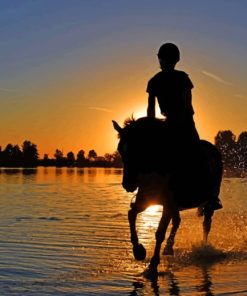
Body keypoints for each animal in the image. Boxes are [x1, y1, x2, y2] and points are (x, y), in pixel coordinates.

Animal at [113, 116, 223, 272]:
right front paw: (138, 250)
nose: (128, 184)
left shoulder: (167, 203)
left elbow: (160, 232)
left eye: (138, 149)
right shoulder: (147, 200)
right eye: (120, 149)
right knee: (177, 221)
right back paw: (169, 248)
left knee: (206, 225)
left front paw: (153, 264)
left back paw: (203, 248)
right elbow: (131, 214)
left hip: (208, 202)